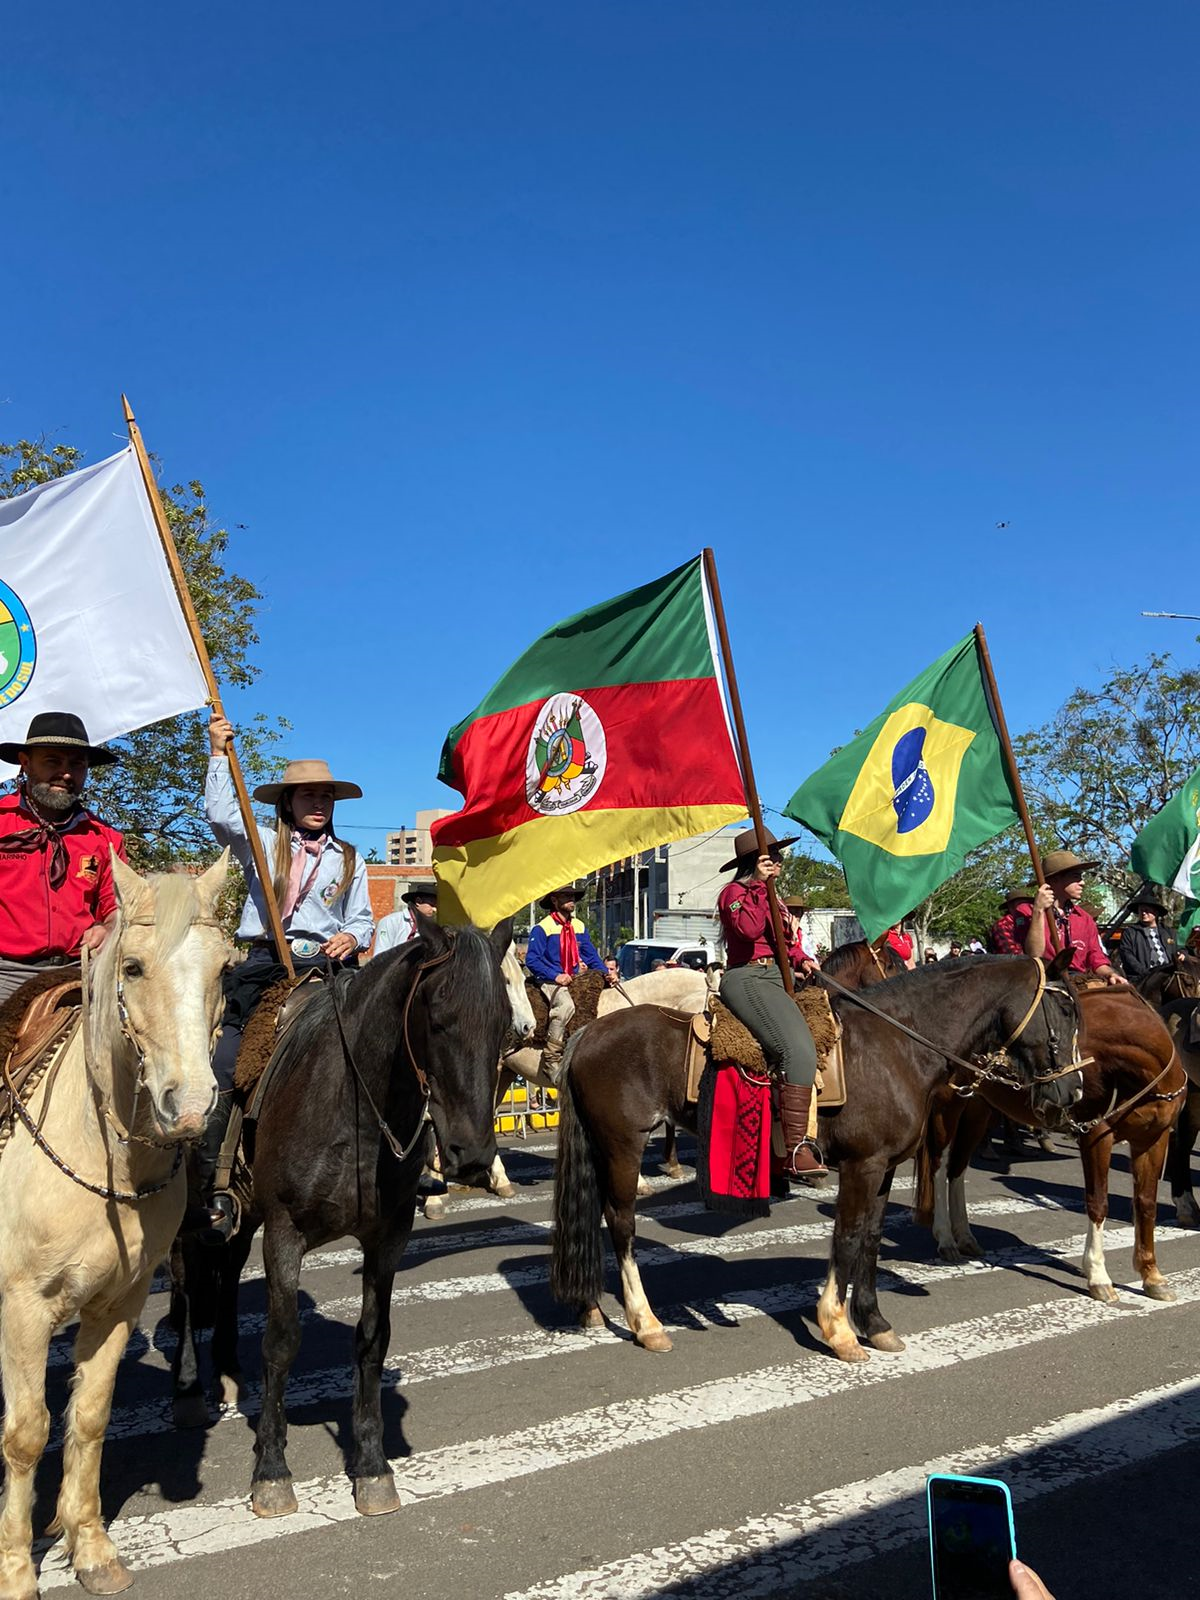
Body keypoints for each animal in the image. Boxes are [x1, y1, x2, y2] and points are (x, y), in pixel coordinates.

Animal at [0, 857, 230, 1593]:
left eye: (223, 965)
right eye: (132, 967)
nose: (190, 1107)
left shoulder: (118, 1304)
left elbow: (91, 1417)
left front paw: (91, 1548)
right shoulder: (23, 1306)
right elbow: (27, 1432)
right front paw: (17, 1570)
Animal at [550, 947, 1088, 1363]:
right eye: (1064, 1012)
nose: (1072, 1093)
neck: (898, 1042)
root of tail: (588, 1033)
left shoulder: (883, 1168)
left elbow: (870, 1239)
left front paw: (875, 1323)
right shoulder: (861, 1165)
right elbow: (847, 1239)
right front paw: (839, 1329)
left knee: (594, 1215)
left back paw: (592, 1307)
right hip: (624, 1144)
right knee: (621, 1222)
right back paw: (646, 1323)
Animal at [921, 972, 1184, 1299]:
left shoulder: (1154, 1139)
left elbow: (1146, 1203)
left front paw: (1152, 1276)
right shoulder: (1096, 1136)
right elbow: (1098, 1202)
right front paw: (1098, 1275)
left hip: (978, 1110)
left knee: (957, 1168)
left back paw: (965, 1236)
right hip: (949, 1106)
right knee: (939, 1165)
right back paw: (945, 1237)